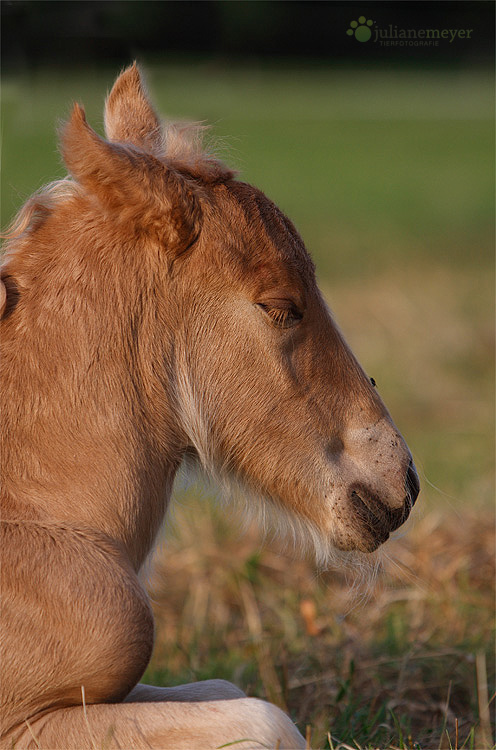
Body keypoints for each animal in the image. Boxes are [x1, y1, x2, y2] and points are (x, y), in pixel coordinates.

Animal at [0, 66, 418, 750]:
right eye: (280, 307)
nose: (399, 484)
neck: (34, 512)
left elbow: (227, 689)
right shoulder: (26, 726)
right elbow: (268, 720)